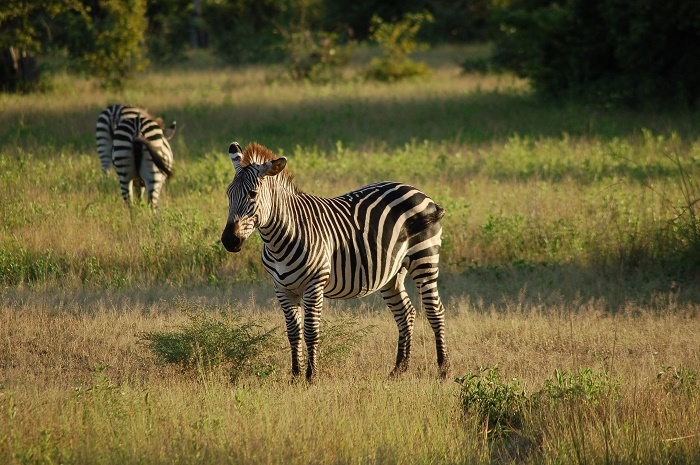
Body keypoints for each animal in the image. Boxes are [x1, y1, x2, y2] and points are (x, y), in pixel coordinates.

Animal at [219, 142, 448, 380]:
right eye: (228, 194)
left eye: (253, 194)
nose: (229, 240)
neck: (280, 237)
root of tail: (418, 191)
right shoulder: (281, 288)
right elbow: (293, 332)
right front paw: (295, 376)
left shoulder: (314, 284)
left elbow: (311, 331)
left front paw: (311, 376)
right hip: (392, 272)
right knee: (406, 313)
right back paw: (398, 369)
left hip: (425, 258)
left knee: (435, 310)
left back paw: (443, 369)